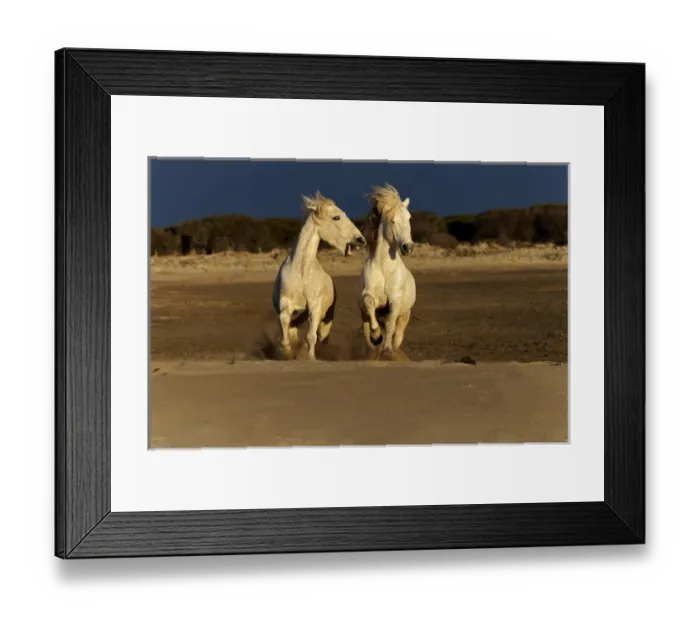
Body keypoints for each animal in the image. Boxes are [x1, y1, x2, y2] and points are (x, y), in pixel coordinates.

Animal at [272, 191, 366, 360]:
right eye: (336, 217)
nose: (360, 239)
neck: (302, 271)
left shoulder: (314, 306)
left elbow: (311, 336)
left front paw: (310, 358)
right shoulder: (285, 303)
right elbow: (285, 324)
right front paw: (286, 351)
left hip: (325, 321)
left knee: (320, 337)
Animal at [357, 184, 416, 361]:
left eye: (409, 218)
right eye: (392, 220)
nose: (408, 247)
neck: (384, 268)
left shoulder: (395, 300)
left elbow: (391, 324)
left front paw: (387, 350)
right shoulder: (369, 297)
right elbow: (370, 306)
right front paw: (377, 336)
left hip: (404, 316)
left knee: (397, 335)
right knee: (367, 332)